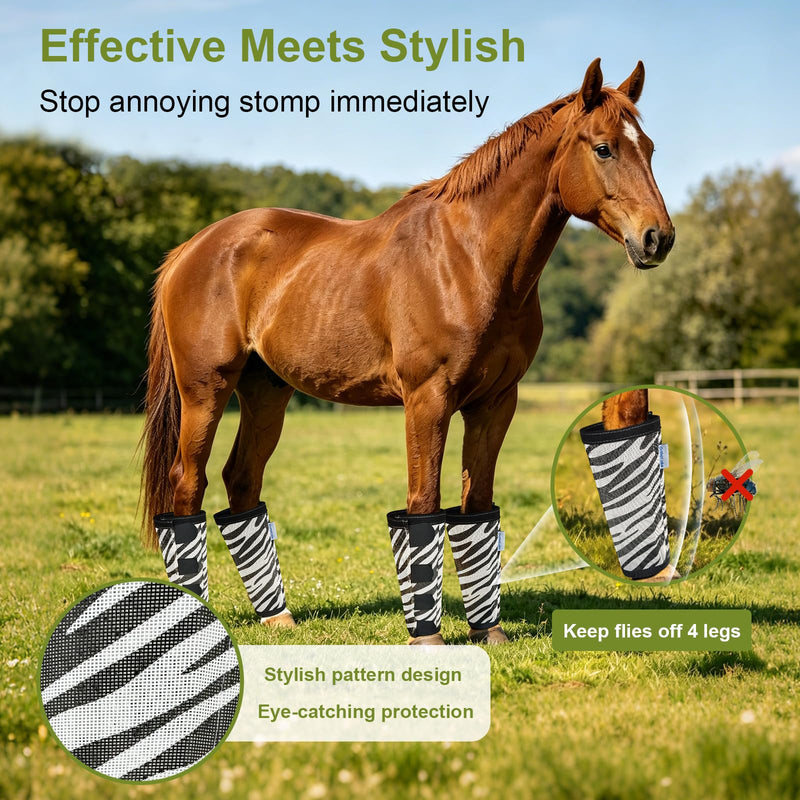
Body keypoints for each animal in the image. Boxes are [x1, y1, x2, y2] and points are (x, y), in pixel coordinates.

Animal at [140, 58, 674, 644]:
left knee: (241, 480)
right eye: (603, 148)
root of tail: (193, 248)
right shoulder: (427, 399)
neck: (469, 259)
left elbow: (476, 507)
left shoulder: (495, 403)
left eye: (649, 147)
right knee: (187, 485)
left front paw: (489, 633)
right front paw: (428, 637)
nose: (658, 238)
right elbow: (423, 504)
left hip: (266, 392)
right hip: (205, 391)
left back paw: (276, 616)